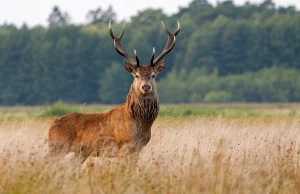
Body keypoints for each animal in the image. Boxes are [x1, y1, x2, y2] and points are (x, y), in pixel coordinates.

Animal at [47, 20, 180, 161]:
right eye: (136, 75)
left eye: (154, 75)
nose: (145, 86)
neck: (140, 125)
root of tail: (50, 125)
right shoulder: (124, 148)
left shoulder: (137, 150)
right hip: (57, 147)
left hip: (78, 153)